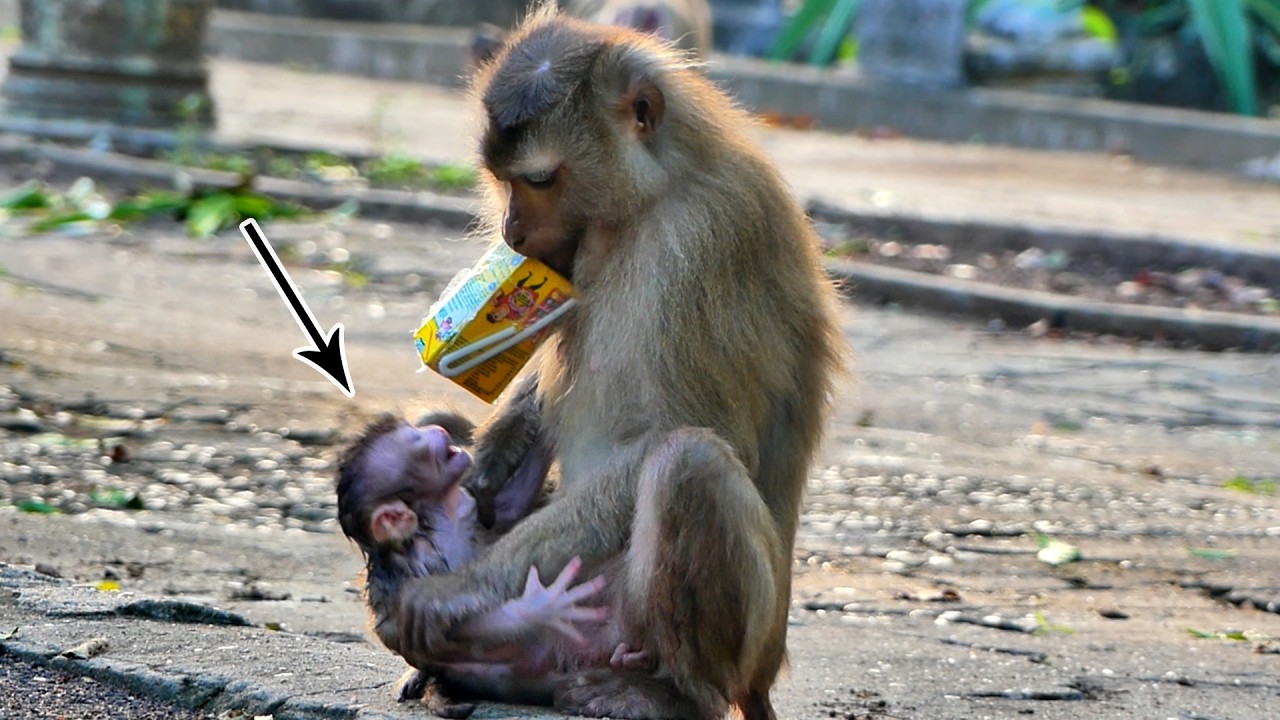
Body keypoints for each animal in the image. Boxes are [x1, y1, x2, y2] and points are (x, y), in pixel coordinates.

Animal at [395, 6, 847, 720]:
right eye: (503, 180)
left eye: (540, 179)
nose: (512, 232)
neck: (650, 198)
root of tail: (764, 677)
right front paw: (501, 447)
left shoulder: (702, 242)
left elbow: (676, 434)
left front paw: (456, 591)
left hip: (721, 635)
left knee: (688, 464)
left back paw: (671, 694)